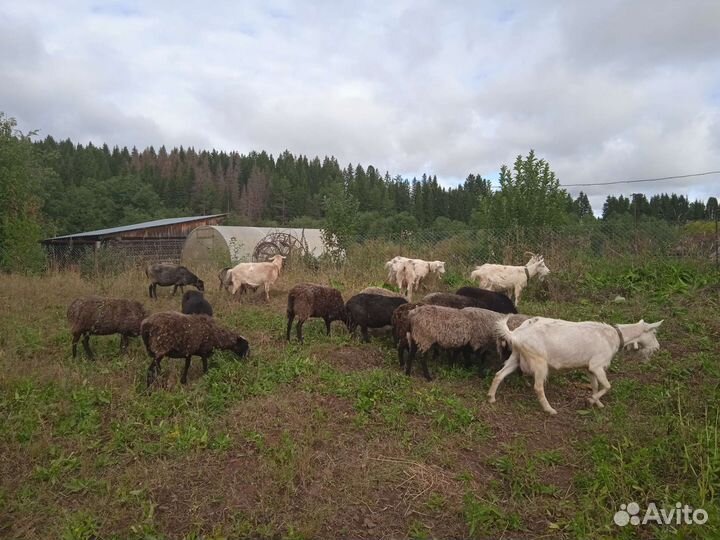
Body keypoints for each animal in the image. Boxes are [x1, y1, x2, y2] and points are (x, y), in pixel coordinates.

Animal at [489, 316, 663, 414]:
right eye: (654, 333)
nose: (657, 347)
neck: (614, 336)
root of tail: (515, 334)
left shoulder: (589, 369)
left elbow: (595, 385)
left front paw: (598, 403)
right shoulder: (597, 365)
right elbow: (607, 386)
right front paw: (591, 401)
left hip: (516, 357)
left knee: (499, 374)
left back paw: (491, 398)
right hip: (539, 361)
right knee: (538, 386)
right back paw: (550, 410)